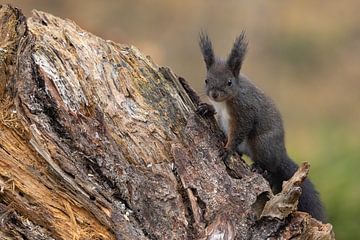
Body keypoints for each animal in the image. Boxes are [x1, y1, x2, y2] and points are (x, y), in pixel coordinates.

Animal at [197, 31, 326, 221]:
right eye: (206, 80)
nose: (214, 94)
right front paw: (206, 108)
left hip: (262, 143)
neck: (226, 101)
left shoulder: (245, 111)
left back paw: (260, 167)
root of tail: (281, 153)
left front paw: (227, 149)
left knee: (270, 167)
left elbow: (240, 130)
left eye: (229, 82)